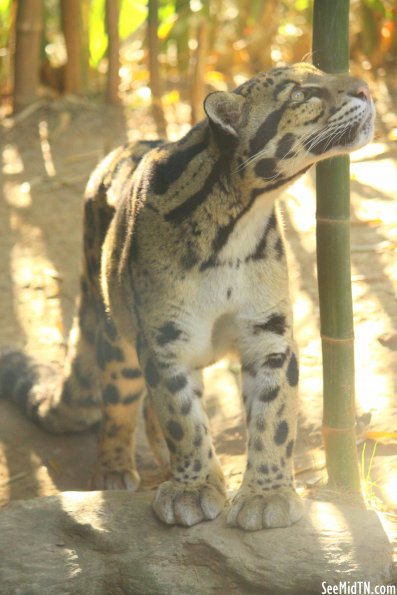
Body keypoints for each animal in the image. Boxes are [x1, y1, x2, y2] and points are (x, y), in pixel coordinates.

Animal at [0, 64, 374, 532]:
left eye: (321, 71)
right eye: (302, 93)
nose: (366, 88)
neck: (237, 223)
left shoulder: (268, 334)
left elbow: (274, 415)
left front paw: (266, 494)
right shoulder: (164, 340)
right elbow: (181, 415)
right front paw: (193, 488)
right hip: (116, 336)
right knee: (120, 401)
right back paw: (114, 469)